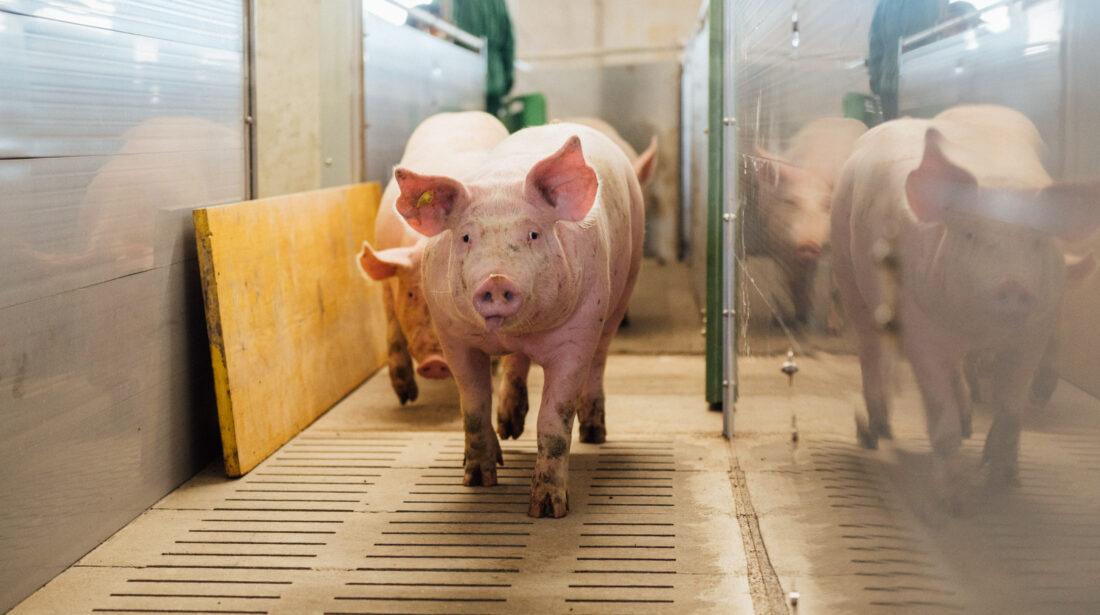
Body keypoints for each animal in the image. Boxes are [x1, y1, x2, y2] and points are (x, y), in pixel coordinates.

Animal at [393, 122, 644, 518]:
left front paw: (547, 510)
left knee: (598, 362)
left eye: (533, 234)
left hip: (623, 288)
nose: (496, 280)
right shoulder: (452, 335)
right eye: (466, 236)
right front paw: (477, 481)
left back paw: (594, 434)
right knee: (515, 363)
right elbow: (473, 405)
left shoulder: (579, 333)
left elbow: (554, 419)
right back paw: (508, 430)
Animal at [749, 117, 867, 327]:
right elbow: (791, 280)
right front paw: (796, 318)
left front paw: (834, 327)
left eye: (827, 204)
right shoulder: (776, 240)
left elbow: (835, 285)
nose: (809, 243)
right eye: (791, 201)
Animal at [831, 104, 1100, 509]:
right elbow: (938, 413)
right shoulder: (918, 327)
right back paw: (876, 431)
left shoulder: (1032, 336)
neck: (979, 331)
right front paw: (955, 502)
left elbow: (1011, 410)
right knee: (869, 347)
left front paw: (1005, 481)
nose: (1013, 284)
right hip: (847, 268)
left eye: (1037, 241)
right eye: (971, 234)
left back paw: (967, 423)